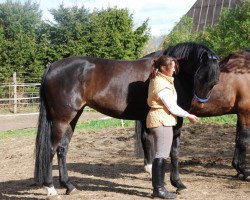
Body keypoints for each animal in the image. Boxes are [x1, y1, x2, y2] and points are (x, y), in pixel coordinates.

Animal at [34, 41, 219, 197]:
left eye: (215, 82)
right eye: (199, 77)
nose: (199, 106)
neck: (176, 76)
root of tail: (52, 67)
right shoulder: (175, 120)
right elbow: (173, 151)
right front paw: (178, 183)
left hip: (72, 118)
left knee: (62, 149)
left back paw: (68, 186)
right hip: (61, 120)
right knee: (51, 149)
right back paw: (50, 188)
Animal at [139, 48, 250, 194]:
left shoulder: (240, 113)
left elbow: (238, 140)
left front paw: (237, 168)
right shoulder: (245, 112)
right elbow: (243, 141)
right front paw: (244, 171)